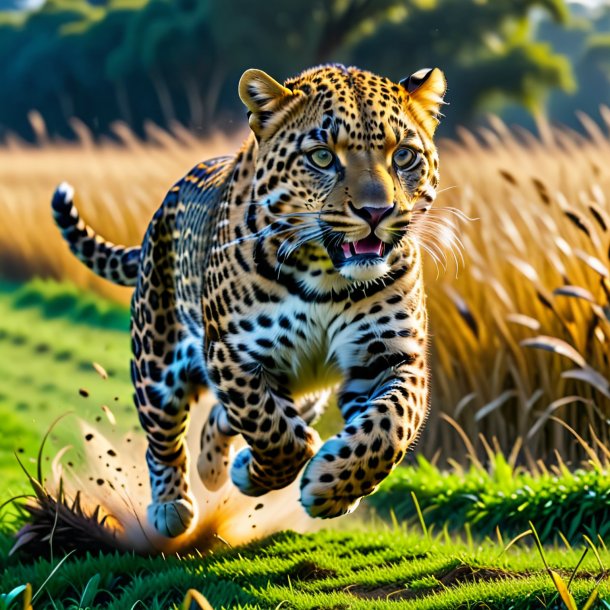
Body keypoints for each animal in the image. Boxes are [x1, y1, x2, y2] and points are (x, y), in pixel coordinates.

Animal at [52, 63, 446, 536]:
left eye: (403, 156)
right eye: (322, 157)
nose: (376, 212)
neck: (327, 277)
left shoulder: (391, 356)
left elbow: (391, 426)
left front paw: (332, 486)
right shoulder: (234, 354)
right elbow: (273, 430)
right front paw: (270, 471)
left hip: (306, 390)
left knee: (229, 417)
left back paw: (216, 468)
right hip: (156, 359)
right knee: (164, 435)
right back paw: (172, 505)